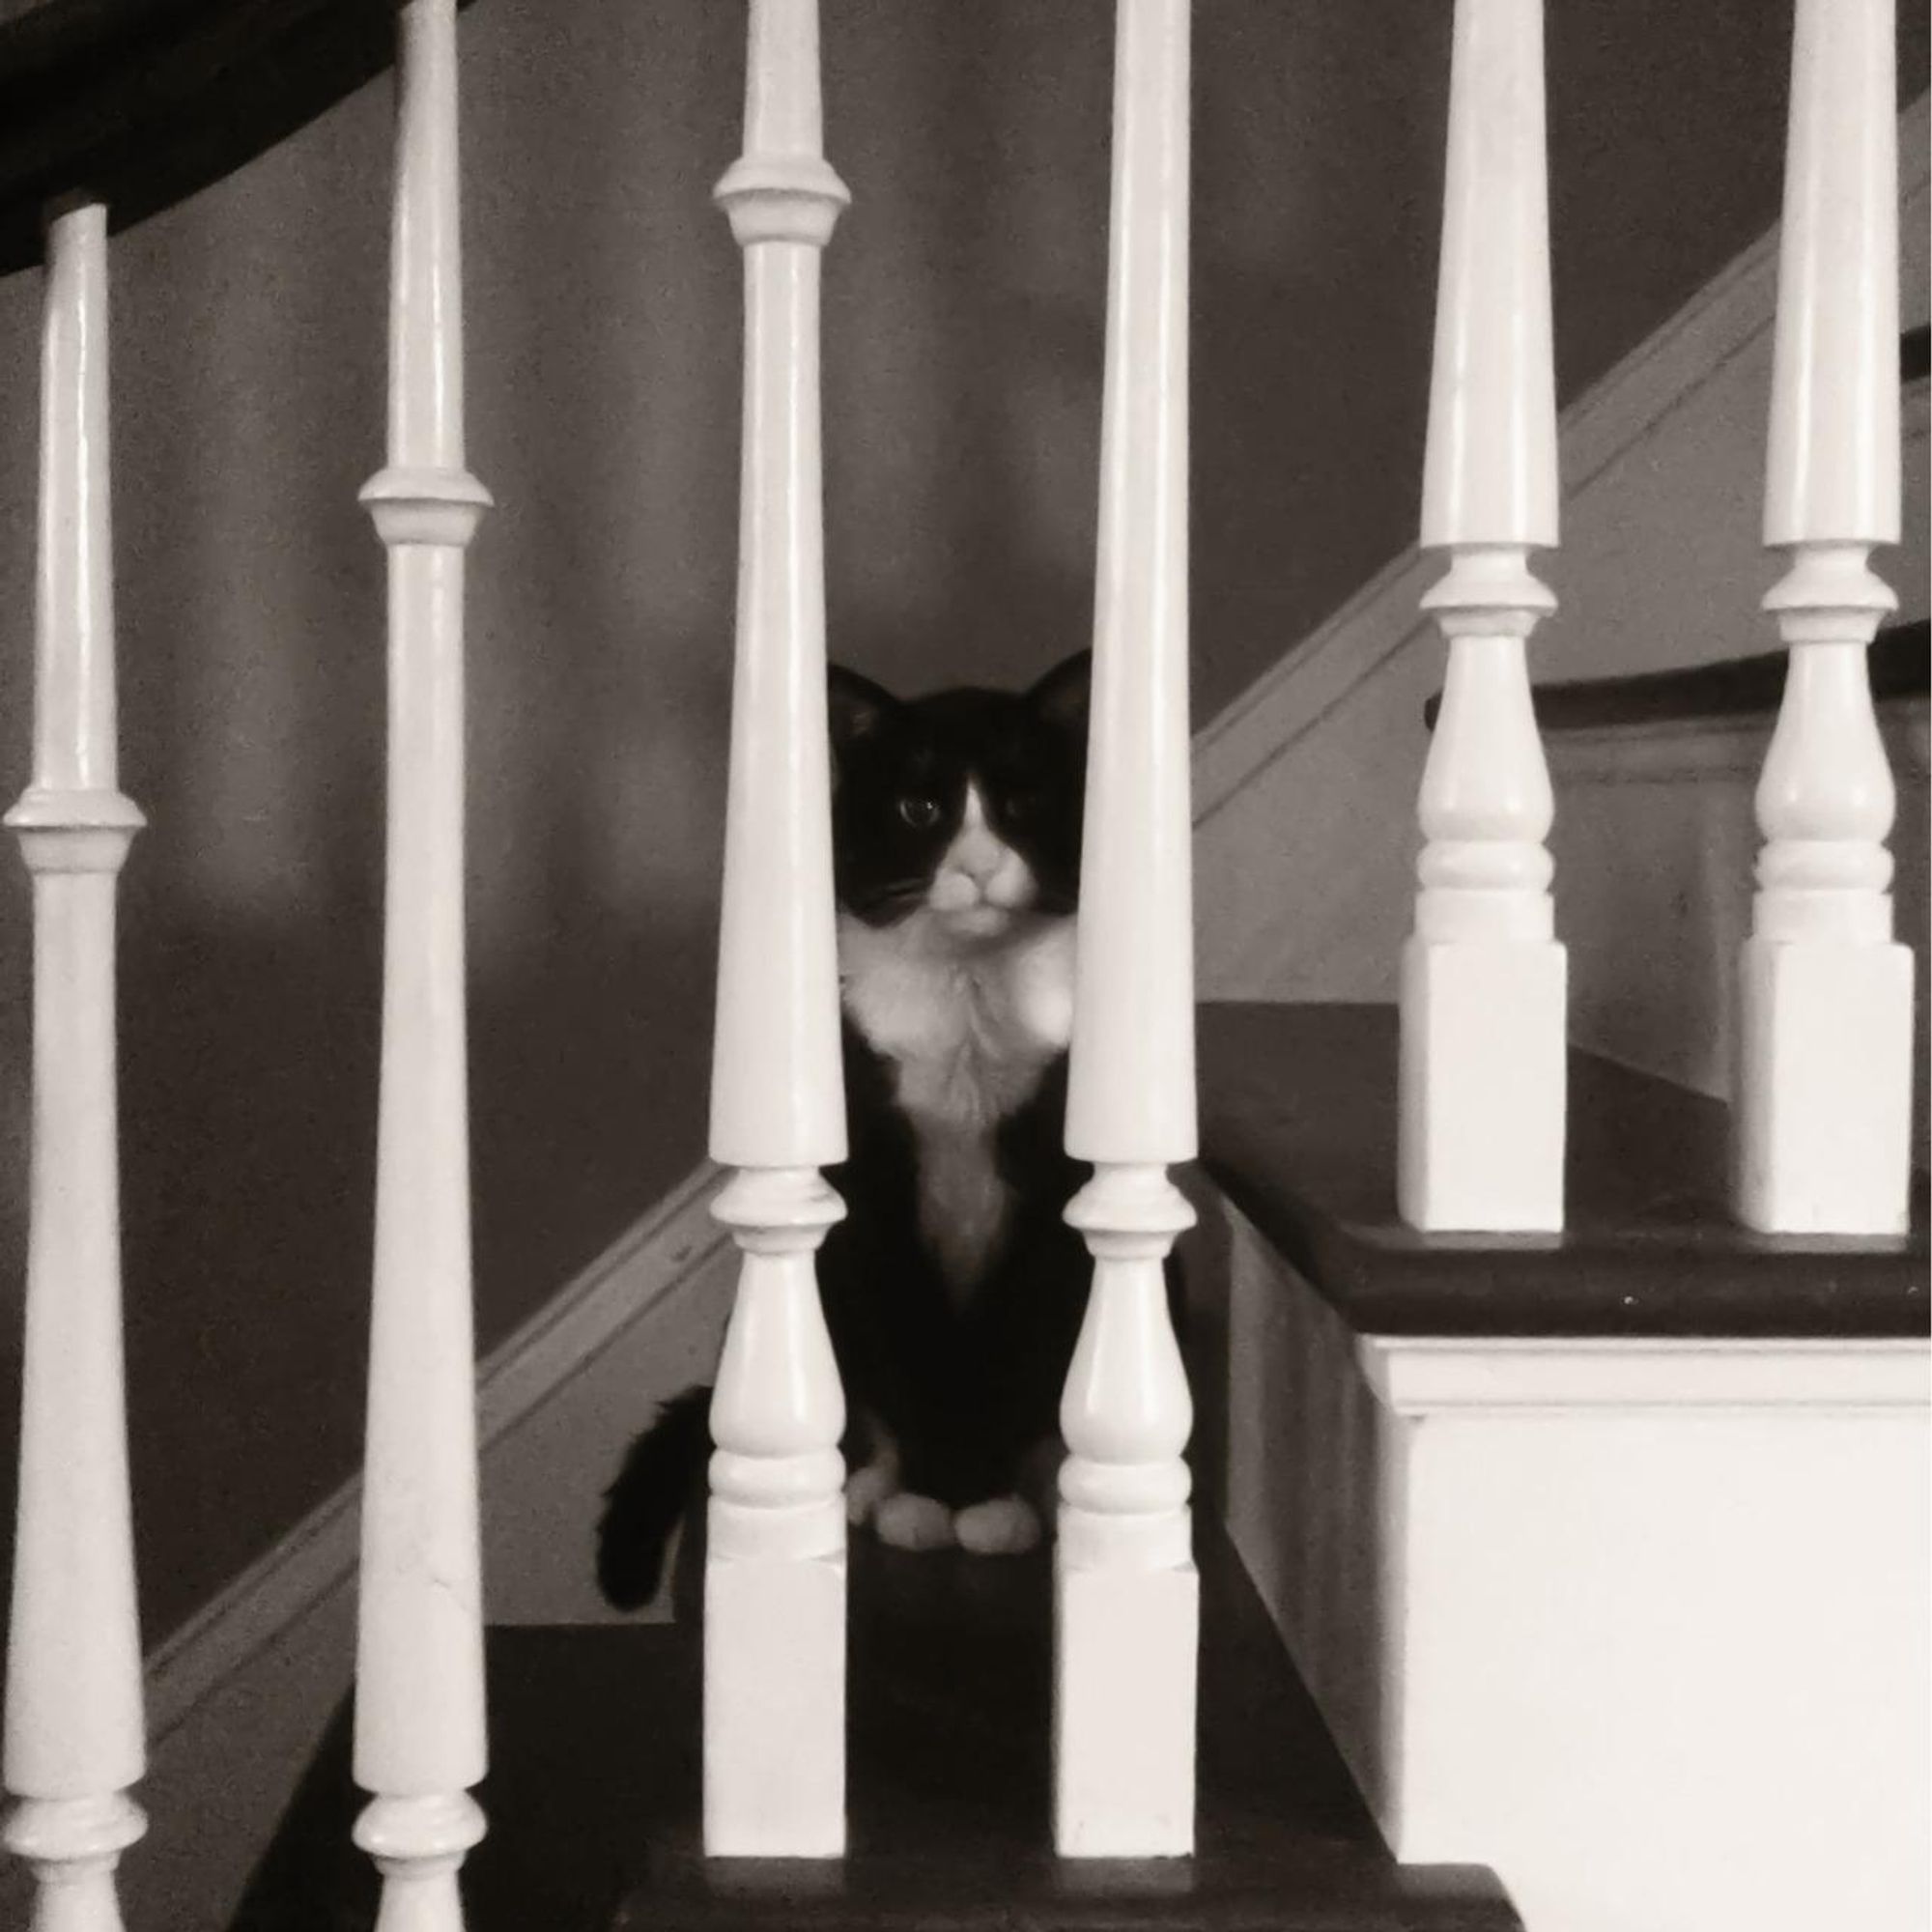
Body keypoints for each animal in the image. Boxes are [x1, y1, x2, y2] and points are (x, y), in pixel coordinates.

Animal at [595, 657, 1097, 1607]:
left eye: (1021, 801)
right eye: (919, 810)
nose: (979, 866)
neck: (967, 997)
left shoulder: (1050, 1196)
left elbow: (1009, 1350)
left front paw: (985, 1504)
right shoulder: (875, 1197)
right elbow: (908, 1347)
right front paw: (929, 1500)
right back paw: (875, 1488)